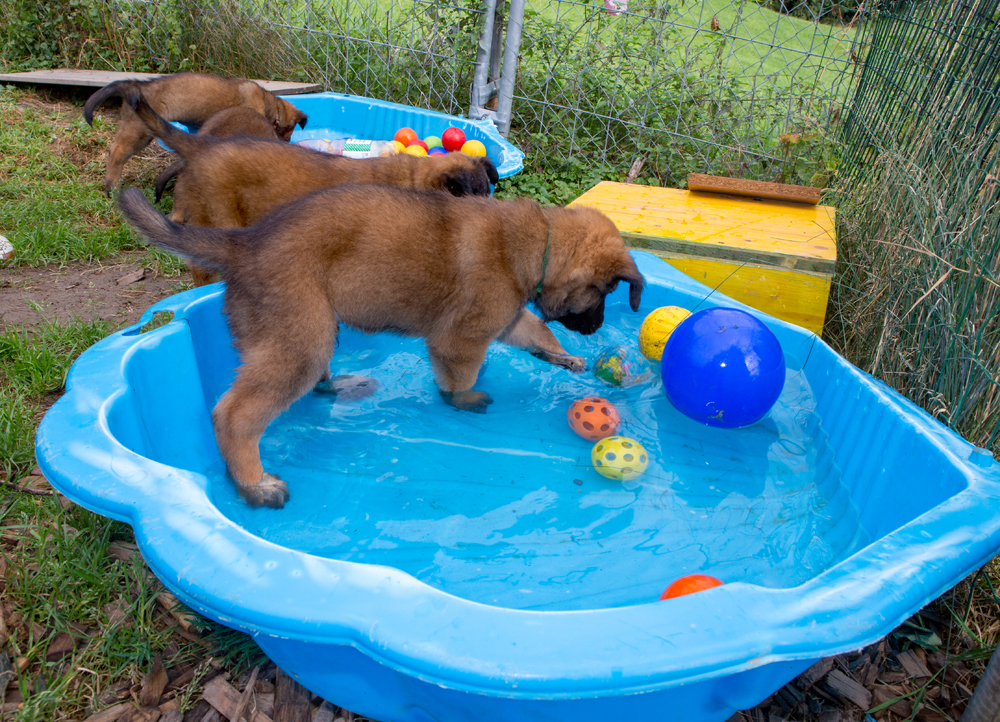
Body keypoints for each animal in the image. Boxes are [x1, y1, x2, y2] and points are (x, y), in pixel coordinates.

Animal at [84, 72, 306, 194]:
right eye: (289, 133)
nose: (287, 144)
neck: (270, 106)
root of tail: (139, 85)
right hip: (140, 130)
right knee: (118, 151)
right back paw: (112, 187)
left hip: (133, 125)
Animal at [119, 184, 648, 506]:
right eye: (604, 293)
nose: (596, 331)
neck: (541, 242)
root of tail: (244, 242)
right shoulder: (461, 335)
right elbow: (459, 378)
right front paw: (462, 399)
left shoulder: (506, 317)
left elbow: (534, 331)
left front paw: (561, 355)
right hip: (301, 337)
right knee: (234, 413)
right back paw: (254, 484)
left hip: (309, 329)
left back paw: (340, 387)